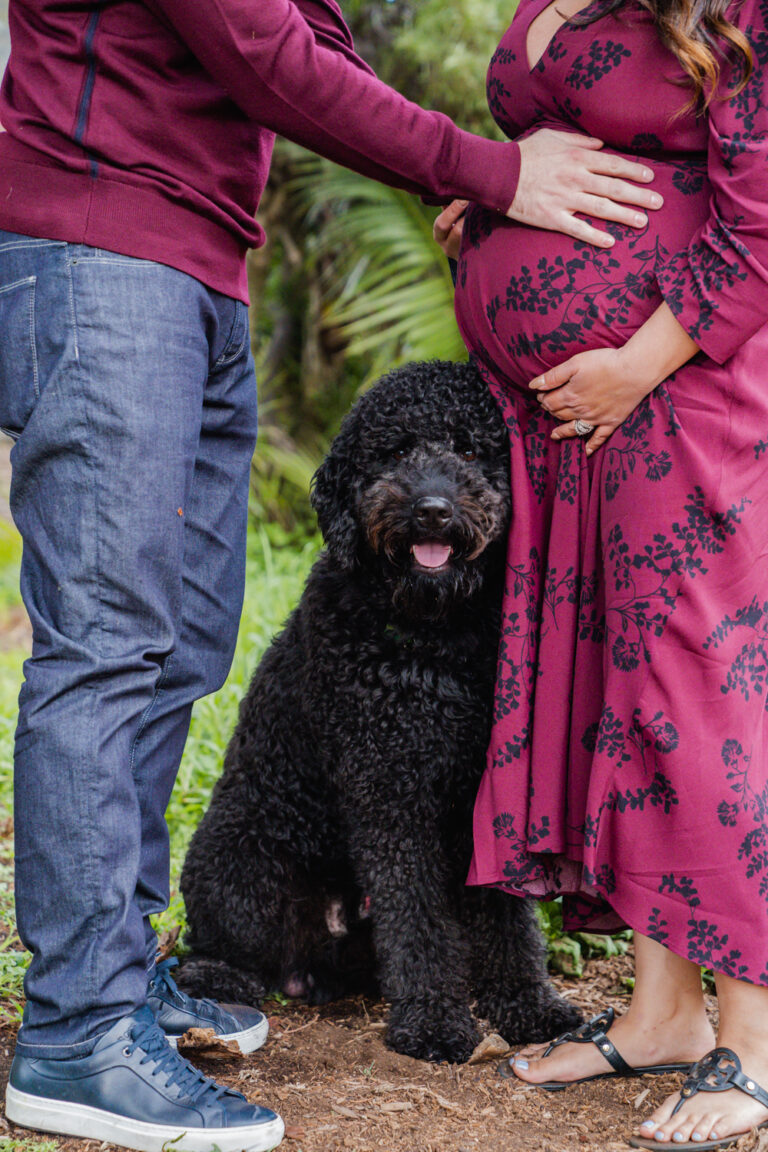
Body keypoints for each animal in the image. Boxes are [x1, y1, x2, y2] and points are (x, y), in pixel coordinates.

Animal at [180, 359, 580, 1059]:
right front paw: (434, 1021)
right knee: (209, 948)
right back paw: (221, 985)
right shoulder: (390, 790)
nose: (432, 510)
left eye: (470, 450)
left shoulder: (485, 796)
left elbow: (507, 918)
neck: (435, 636)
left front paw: (527, 1004)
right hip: (240, 858)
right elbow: (416, 916)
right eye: (394, 452)